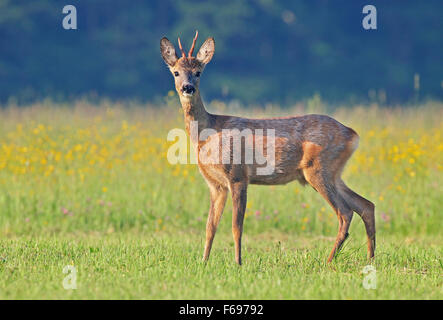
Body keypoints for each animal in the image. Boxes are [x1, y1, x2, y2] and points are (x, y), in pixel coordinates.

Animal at [161, 30, 376, 264]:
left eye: (198, 72)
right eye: (176, 72)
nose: (187, 87)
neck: (207, 135)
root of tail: (352, 134)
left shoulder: (238, 175)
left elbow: (236, 226)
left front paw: (238, 262)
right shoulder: (215, 184)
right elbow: (210, 227)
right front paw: (204, 262)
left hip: (318, 169)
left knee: (345, 212)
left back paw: (329, 261)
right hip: (334, 173)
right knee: (366, 205)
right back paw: (370, 259)